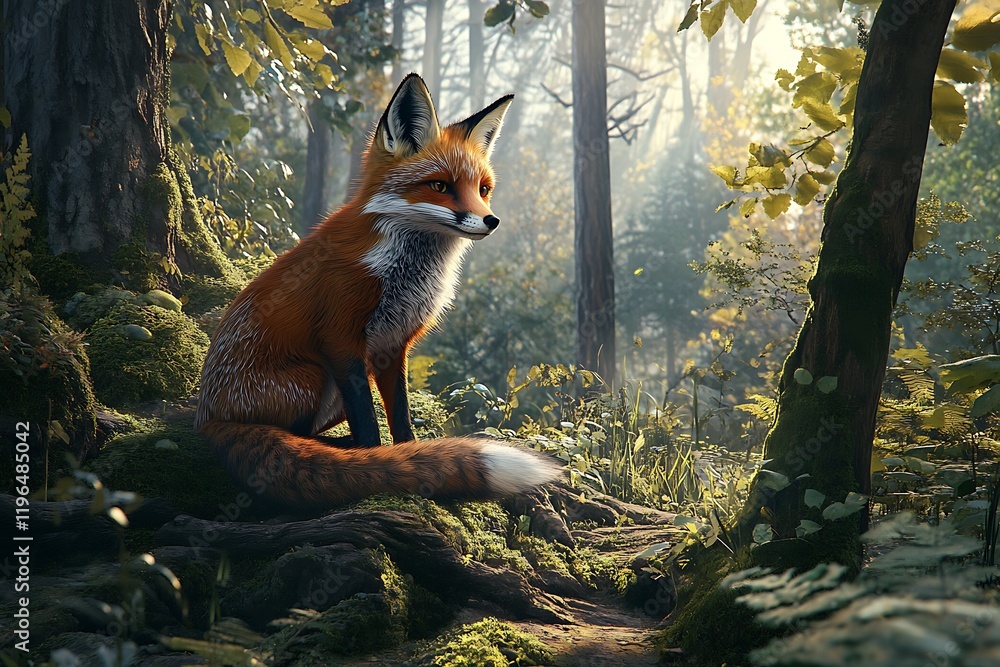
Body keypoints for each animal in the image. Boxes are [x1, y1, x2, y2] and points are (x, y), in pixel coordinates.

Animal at [194, 74, 559, 511]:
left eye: (483, 189)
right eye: (440, 185)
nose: (491, 220)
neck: (404, 271)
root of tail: (208, 417)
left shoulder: (393, 346)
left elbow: (400, 414)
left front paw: (408, 453)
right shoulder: (340, 337)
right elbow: (368, 420)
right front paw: (375, 461)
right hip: (311, 376)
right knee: (297, 436)